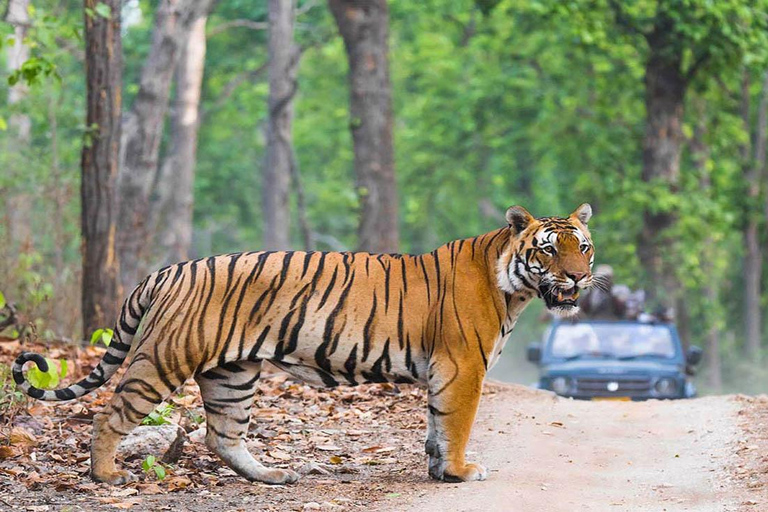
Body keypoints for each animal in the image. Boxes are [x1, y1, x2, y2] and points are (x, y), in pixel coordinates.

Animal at [15, 203, 596, 484]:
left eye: (583, 247)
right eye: (548, 250)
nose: (578, 278)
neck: (513, 288)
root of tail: (167, 270)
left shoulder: (446, 372)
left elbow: (436, 428)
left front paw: (437, 472)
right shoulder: (462, 368)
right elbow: (455, 426)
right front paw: (458, 473)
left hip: (232, 375)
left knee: (222, 435)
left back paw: (274, 476)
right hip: (164, 358)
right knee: (110, 414)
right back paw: (106, 474)